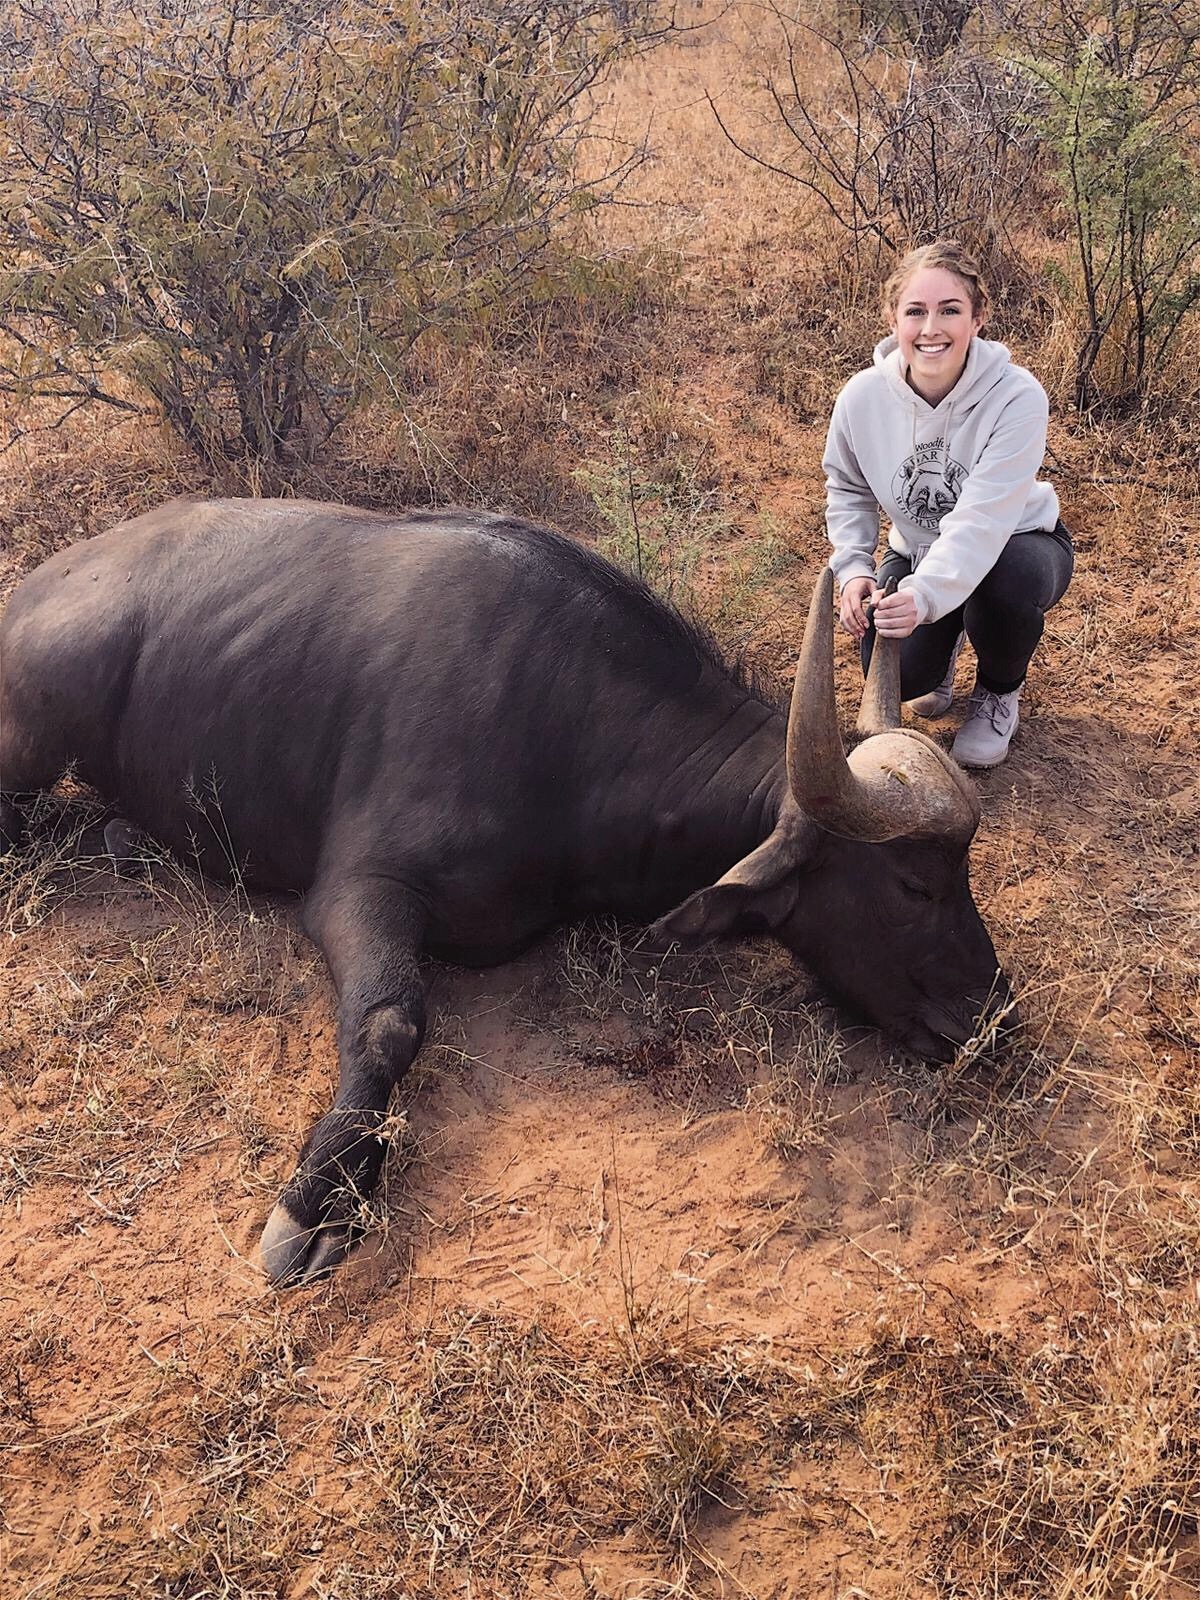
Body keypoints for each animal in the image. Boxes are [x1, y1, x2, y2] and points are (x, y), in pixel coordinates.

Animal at [0, 499, 1010, 1283]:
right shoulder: (356, 894)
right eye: (913, 884)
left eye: (961, 872)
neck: (565, 730)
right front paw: (316, 1202)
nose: (993, 1016)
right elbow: (391, 1021)